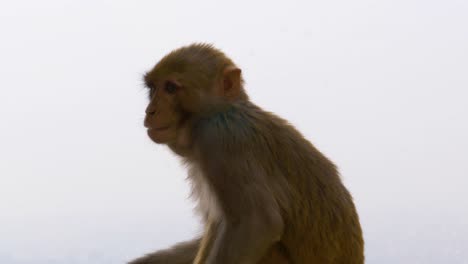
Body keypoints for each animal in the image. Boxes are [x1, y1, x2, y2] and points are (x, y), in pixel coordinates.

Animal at [129, 43, 366, 264]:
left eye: (170, 88)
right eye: (152, 88)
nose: (150, 111)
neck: (221, 111)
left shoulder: (220, 139)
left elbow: (258, 223)